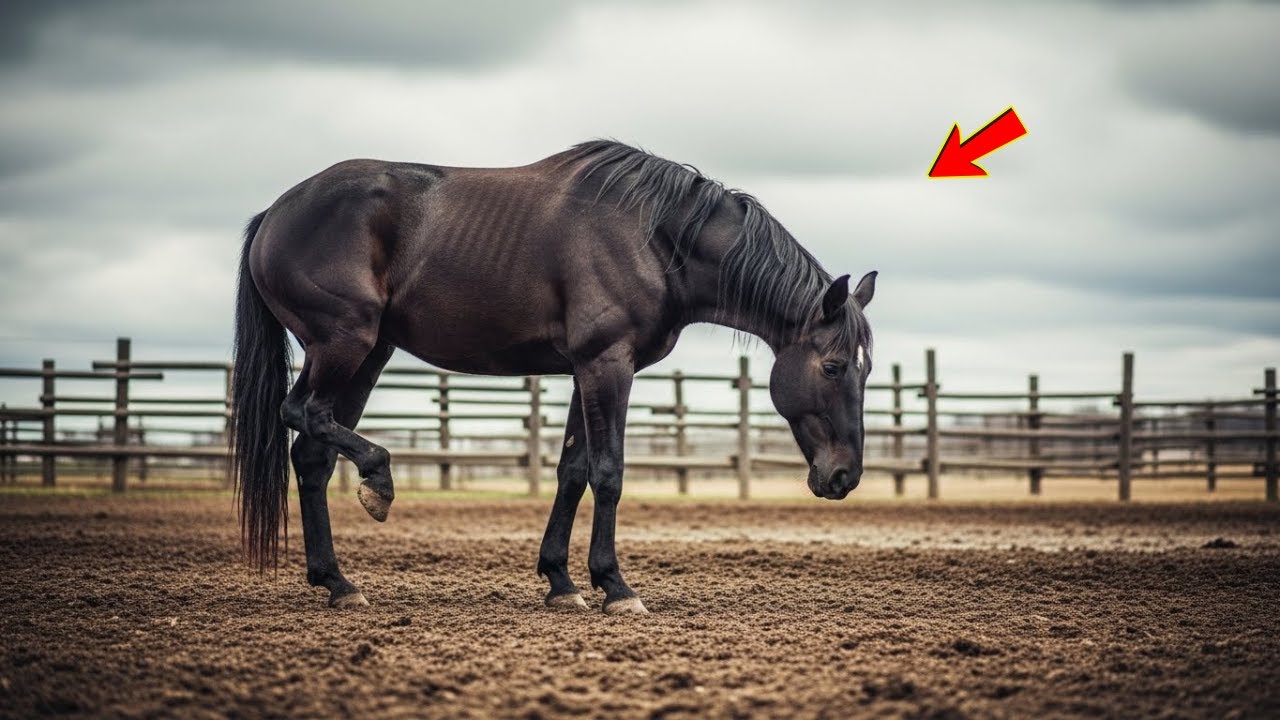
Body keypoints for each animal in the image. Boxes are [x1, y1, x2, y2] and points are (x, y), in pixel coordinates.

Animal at [232, 140, 876, 614]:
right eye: (834, 366)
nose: (844, 476)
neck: (654, 238)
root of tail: (274, 214)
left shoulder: (583, 370)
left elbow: (572, 472)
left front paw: (561, 583)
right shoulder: (607, 364)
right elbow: (609, 473)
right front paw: (616, 587)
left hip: (369, 354)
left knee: (311, 456)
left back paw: (337, 582)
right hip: (344, 342)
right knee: (304, 414)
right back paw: (378, 484)